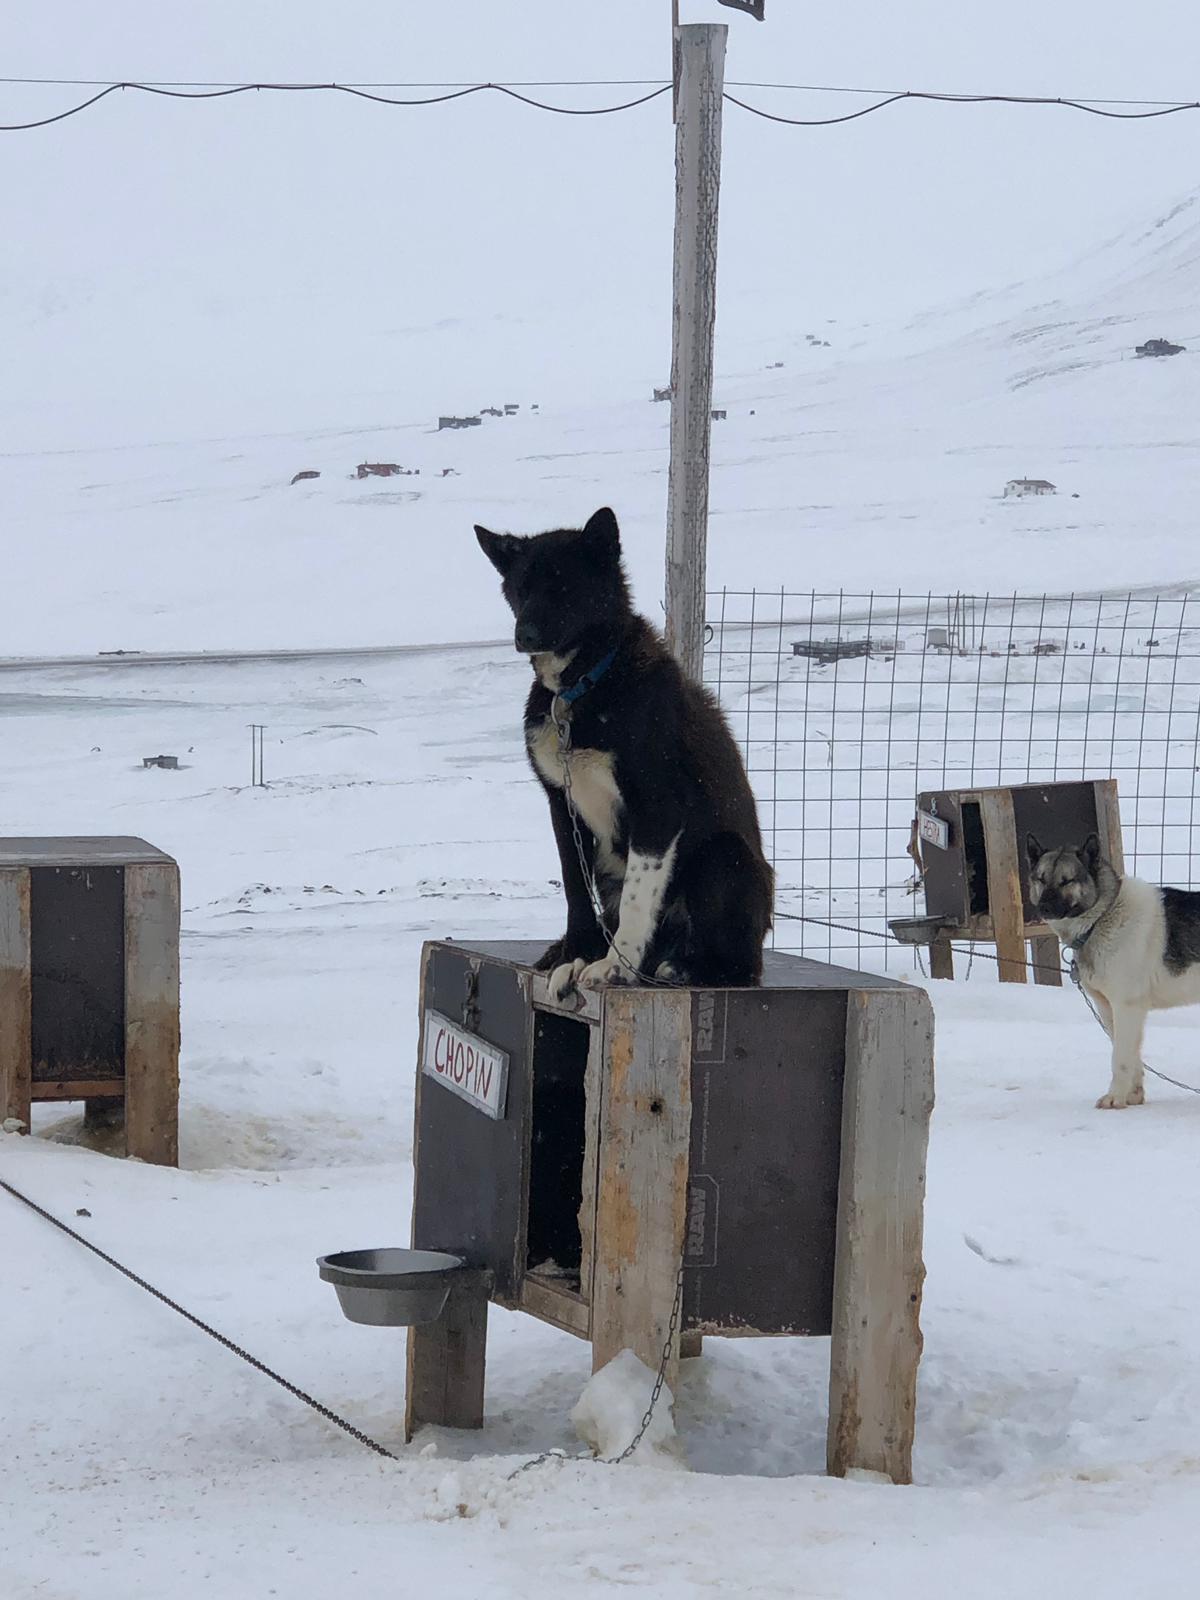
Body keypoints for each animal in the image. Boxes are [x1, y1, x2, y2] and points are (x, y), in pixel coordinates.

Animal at [473, 505, 774, 998]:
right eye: (520, 588)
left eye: (563, 585)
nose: (525, 634)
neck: (585, 685)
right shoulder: (563, 807)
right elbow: (574, 890)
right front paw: (577, 954)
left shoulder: (657, 803)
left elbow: (638, 897)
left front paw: (614, 966)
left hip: (722, 859)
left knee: (738, 966)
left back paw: (682, 968)